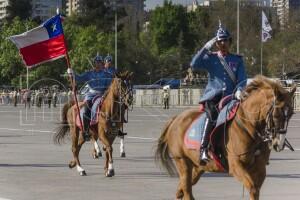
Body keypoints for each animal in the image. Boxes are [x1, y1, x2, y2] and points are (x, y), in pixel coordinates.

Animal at [156, 75, 296, 200]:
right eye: (276, 115)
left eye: (291, 114)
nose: (279, 143)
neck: (250, 127)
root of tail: (176, 119)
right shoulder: (236, 166)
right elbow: (252, 188)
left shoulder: (260, 167)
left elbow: (256, 189)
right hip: (183, 162)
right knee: (186, 191)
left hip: (198, 166)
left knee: (181, 190)